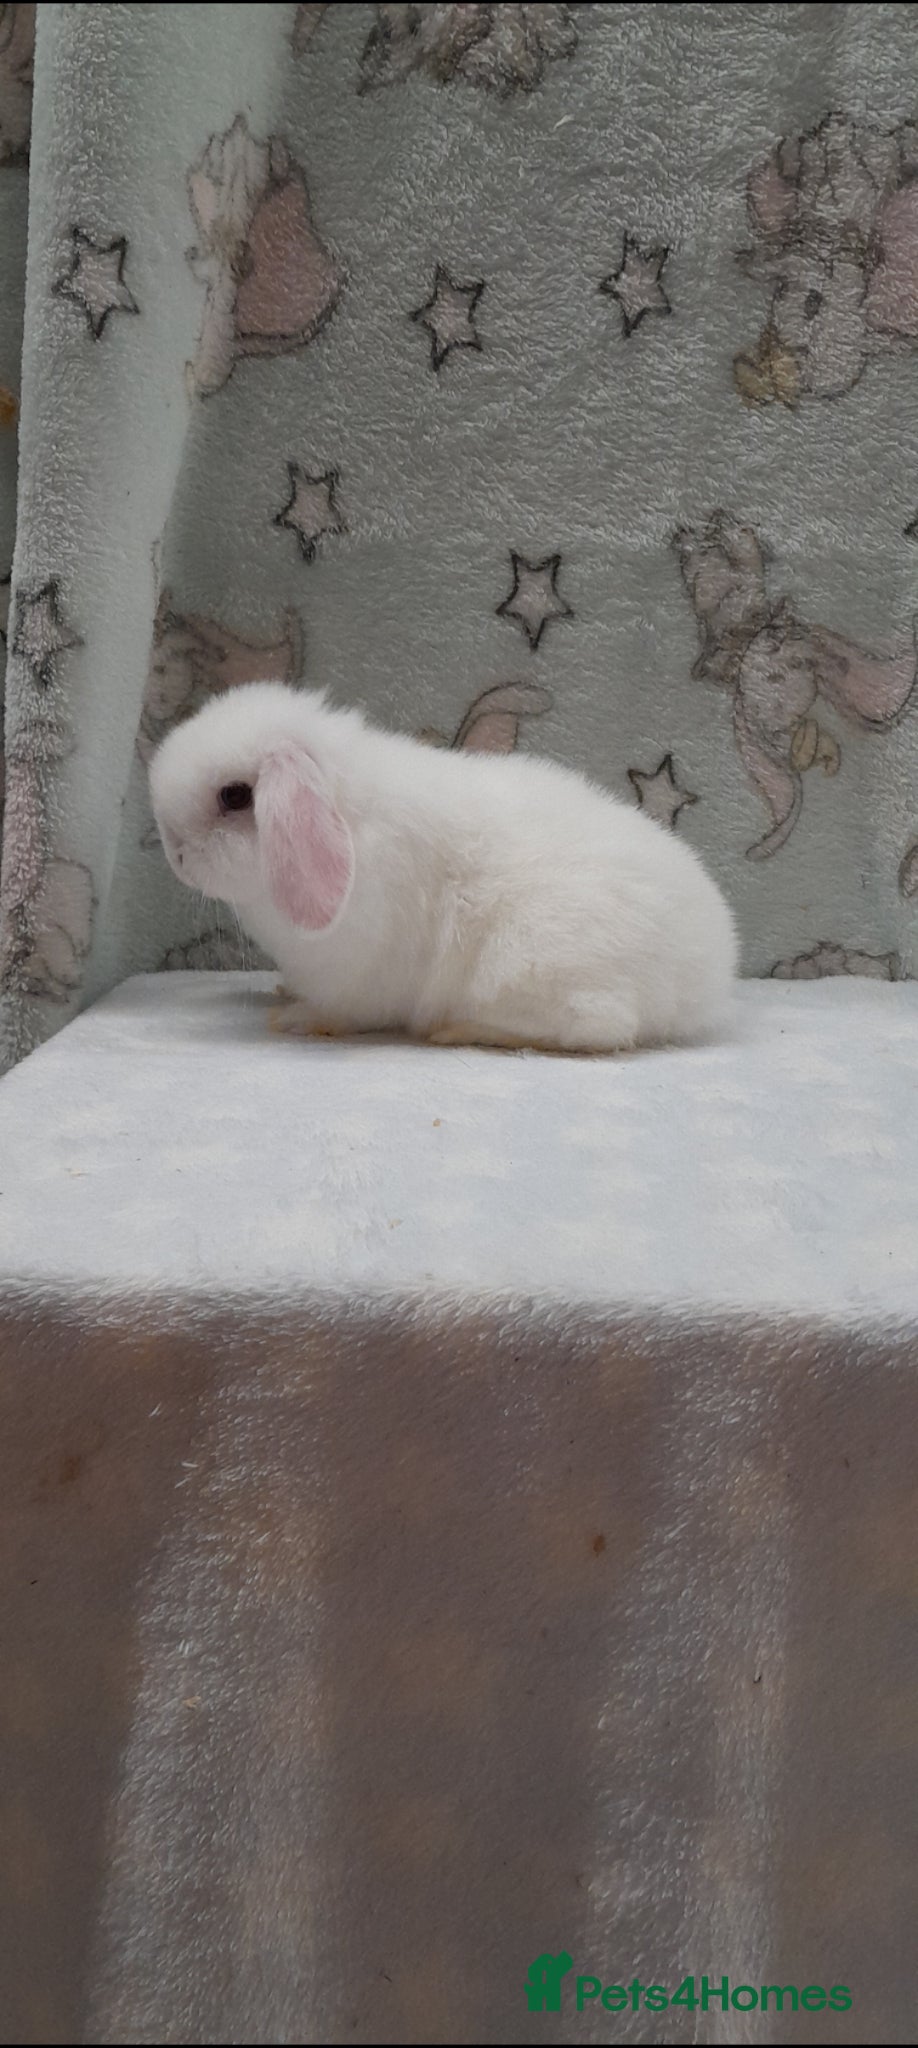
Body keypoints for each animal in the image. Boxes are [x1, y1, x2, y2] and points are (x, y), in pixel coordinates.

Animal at [148, 681, 737, 1052]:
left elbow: (342, 1011)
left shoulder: (357, 976)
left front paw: (296, 1019)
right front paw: (284, 994)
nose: (174, 856)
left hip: (532, 964)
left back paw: (461, 1031)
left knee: (601, 1027)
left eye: (234, 796)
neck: (350, 814)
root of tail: (709, 974)